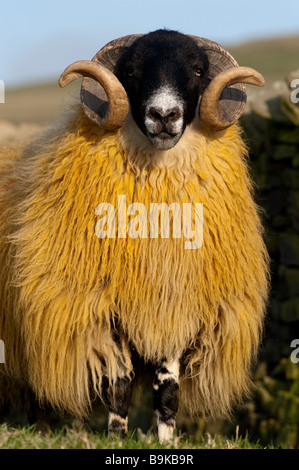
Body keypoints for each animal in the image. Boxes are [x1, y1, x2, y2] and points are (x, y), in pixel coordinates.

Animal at [0, 30, 270, 444]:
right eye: (130, 70)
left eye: (198, 70)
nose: (164, 115)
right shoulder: (101, 305)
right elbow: (120, 382)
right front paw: (115, 436)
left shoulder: (173, 305)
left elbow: (168, 388)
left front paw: (166, 440)